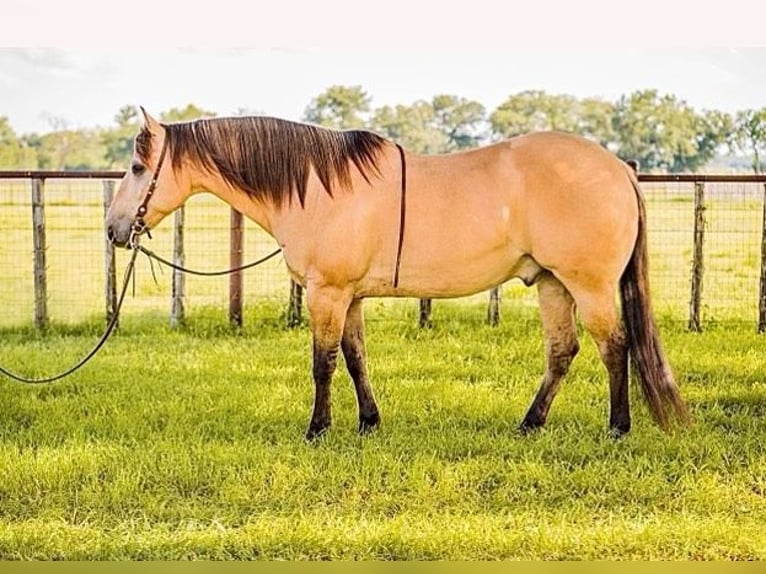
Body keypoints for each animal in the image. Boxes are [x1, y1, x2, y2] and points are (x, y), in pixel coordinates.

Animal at [103, 108, 688, 440]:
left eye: (136, 168)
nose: (113, 228)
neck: (318, 186)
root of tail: (618, 169)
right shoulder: (351, 297)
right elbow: (356, 359)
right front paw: (368, 422)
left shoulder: (327, 293)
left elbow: (323, 363)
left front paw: (318, 429)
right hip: (552, 284)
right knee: (563, 352)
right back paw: (530, 424)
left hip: (588, 286)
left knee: (615, 347)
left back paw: (618, 428)